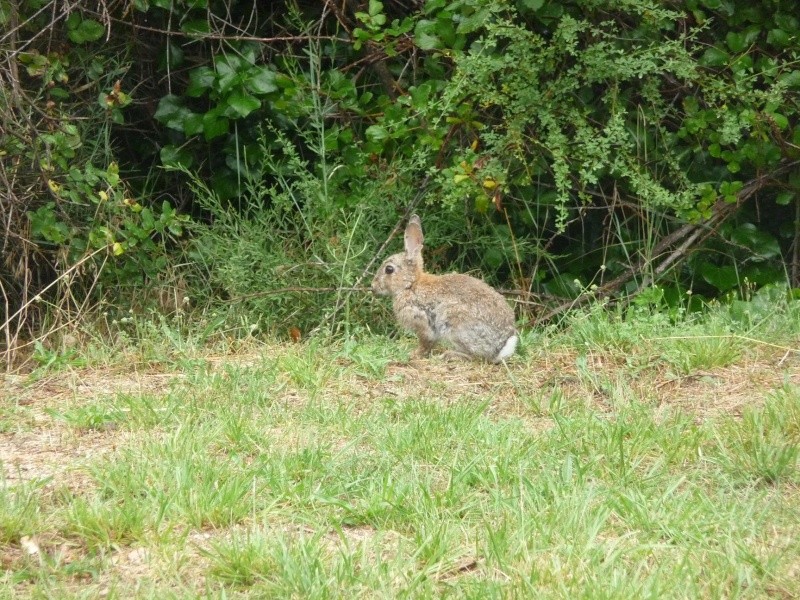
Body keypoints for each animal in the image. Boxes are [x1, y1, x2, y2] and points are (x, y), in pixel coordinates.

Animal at [370, 216, 520, 366]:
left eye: (389, 269)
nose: (373, 287)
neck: (411, 285)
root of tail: (500, 347)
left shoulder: (421, 321)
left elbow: (425, 342)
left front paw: (414, 355)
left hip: (456, 325)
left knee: (476, 357)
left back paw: (449, 355)